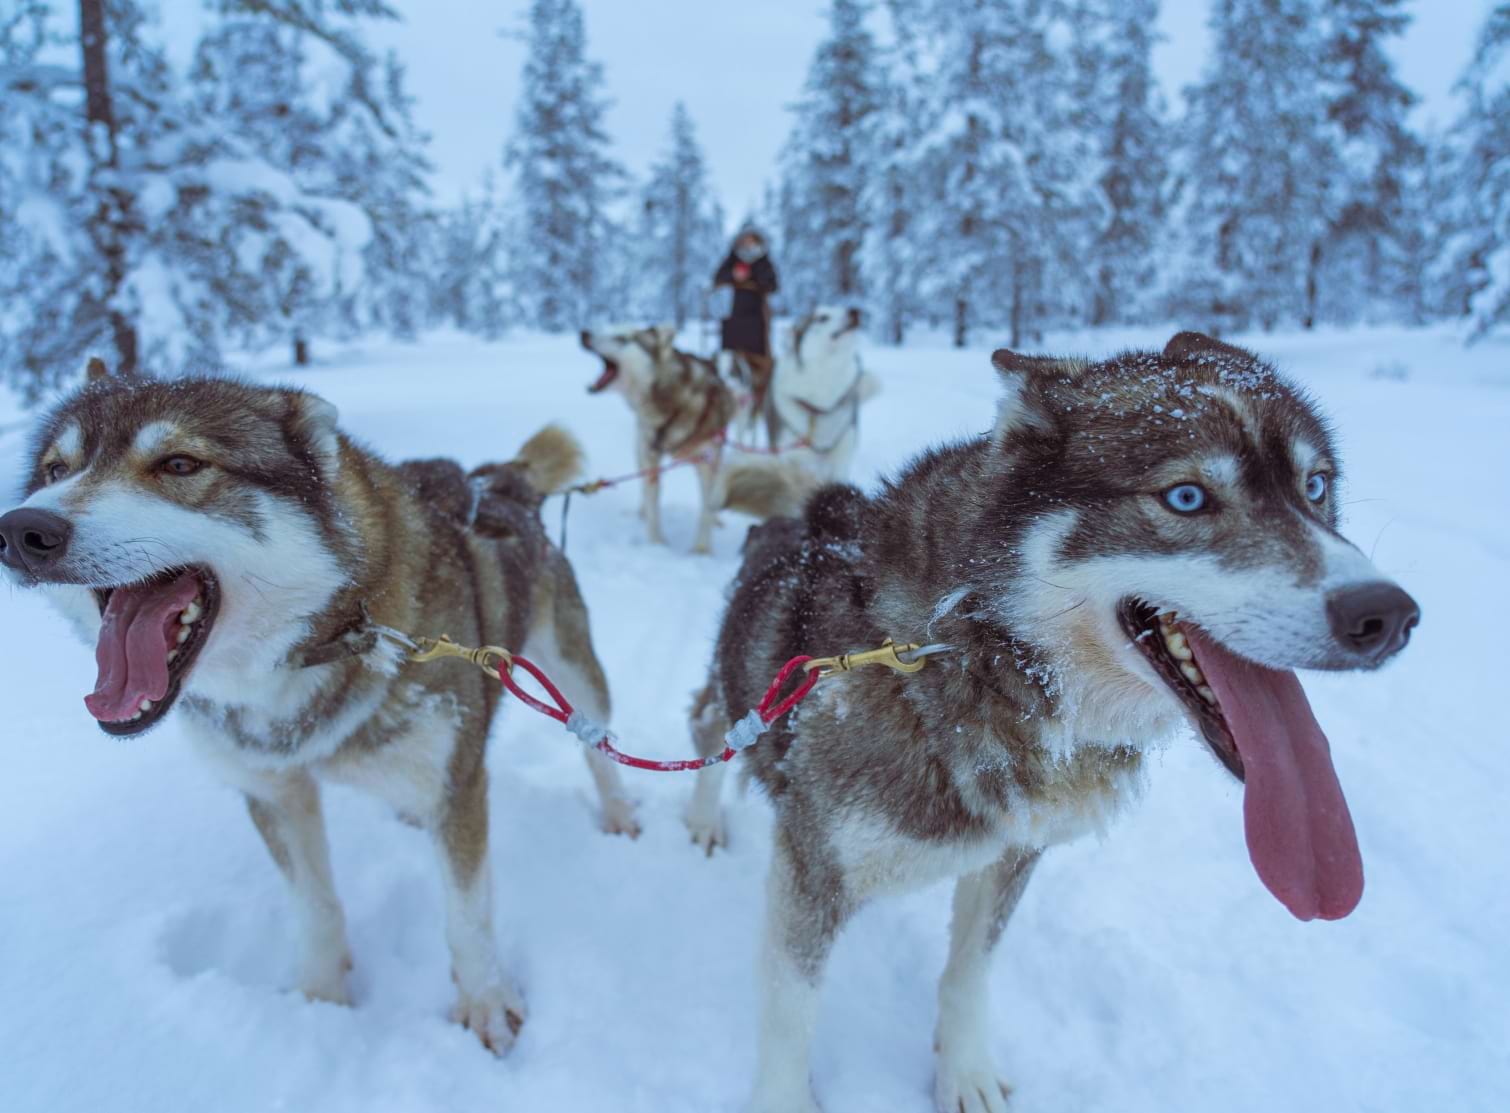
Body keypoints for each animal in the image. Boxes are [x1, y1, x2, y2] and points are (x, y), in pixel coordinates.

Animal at [0, 362, 637, 1051]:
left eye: (179, 464)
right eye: (56, 470)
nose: (22, 530)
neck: (324, 643)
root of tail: (498, 480)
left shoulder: (458, 788)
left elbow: (467, 915)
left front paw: (486, 1002)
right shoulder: (274, 792)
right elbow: (315, 905)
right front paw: (320, 1000)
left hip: (574, 674)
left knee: (597, 747)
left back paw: (620, 815)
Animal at [579, 326, 815, 552]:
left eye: (623, 338)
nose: (584, 333)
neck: (673, 403)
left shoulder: (708, 460)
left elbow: (706, 508)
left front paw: (701, 549)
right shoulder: (651, 454)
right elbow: (653, 499)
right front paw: (656, 543)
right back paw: (642, 510)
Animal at [691, 332, 1419, 1111]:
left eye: (1315, 487)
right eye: (1186, 497)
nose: (1386, 615)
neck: (972, 652)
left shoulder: (1014, 852)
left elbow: (970, 969)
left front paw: (965, 1071)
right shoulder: (813, 868)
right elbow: (791, 1015)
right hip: (730, 702)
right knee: (706, 730)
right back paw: (704, 819)